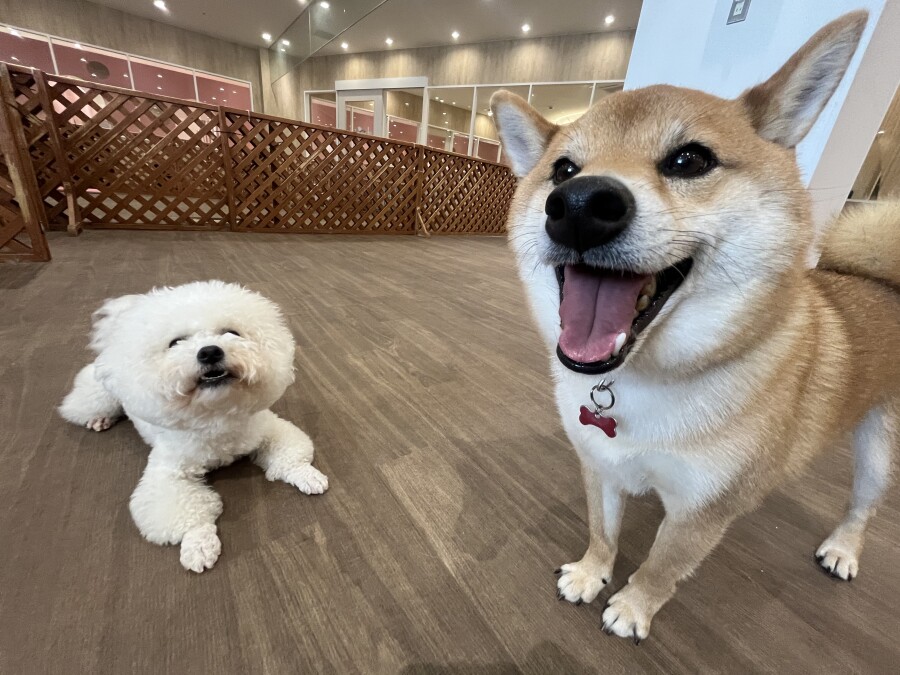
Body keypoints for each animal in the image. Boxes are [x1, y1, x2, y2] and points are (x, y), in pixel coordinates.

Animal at [59, 280, 328, 573]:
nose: (210, 351)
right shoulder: (169, 475)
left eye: (231, 332)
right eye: (175, 343)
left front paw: (308, 475)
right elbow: (188, 515)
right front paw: (198, 546)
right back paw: (99, 419)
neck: (216, 415)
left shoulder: (267, 429)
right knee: (84, 403)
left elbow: (291, 456)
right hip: (100, 394)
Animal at [491, 10, 899, 641]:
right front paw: (590, 574)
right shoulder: (599, 465)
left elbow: (661, 567)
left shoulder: (700, 512)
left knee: (864, 507)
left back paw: (844, 548)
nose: (578, 203)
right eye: (562, 170)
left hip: (878, 456)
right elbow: (602, 532)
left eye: (690, 161)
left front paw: (633, 607)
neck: (639, 382)